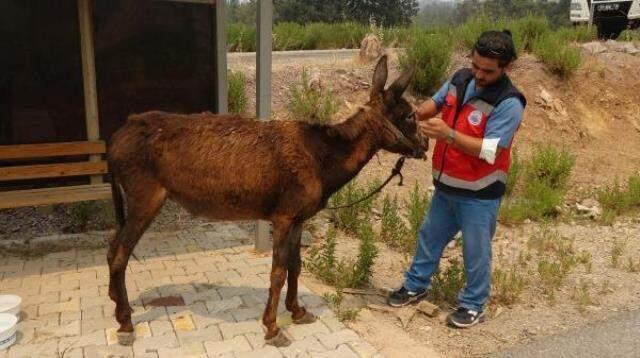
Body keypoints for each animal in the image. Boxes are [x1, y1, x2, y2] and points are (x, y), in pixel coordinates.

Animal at [107, 55, 428, 346]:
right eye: (409, 116)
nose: (425, 145)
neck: (324, 161)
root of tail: (116, 139)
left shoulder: (299, 218)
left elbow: (296, 266)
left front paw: (297, 311)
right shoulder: (283, 216)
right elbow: (277, 272)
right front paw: (272, 327)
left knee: (112, 249)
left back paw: (116, 302)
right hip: (145, 198)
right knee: (119, 253)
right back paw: (125, 322)